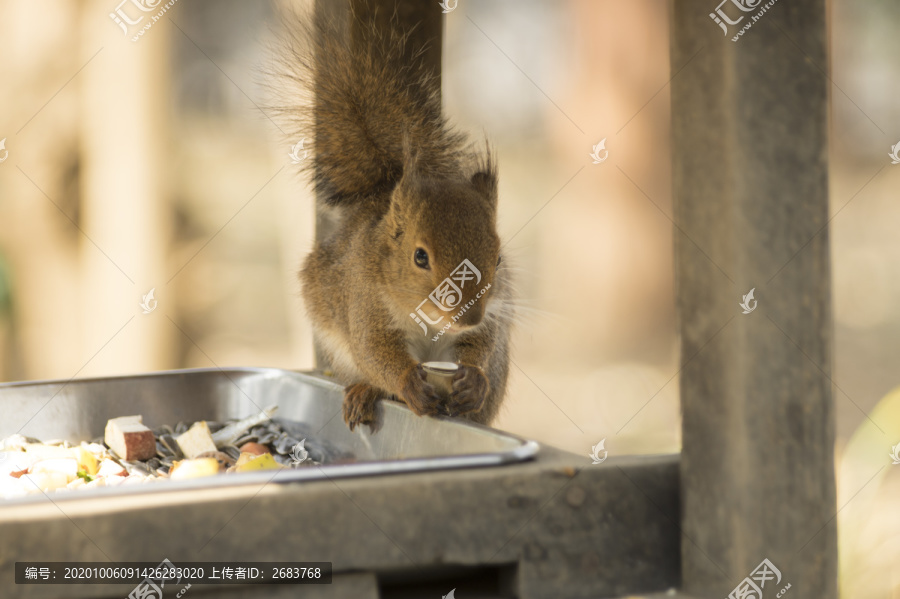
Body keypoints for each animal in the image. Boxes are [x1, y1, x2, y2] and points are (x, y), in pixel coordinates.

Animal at [270, 1, 512, 432]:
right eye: (420, 257)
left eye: (498, 259)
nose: (469, 317)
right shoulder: (365, 301)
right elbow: (375, 351)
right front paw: (407, 384)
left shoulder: (492, 315)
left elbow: (481, 343)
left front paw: (474, 380)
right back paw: (364, 392)